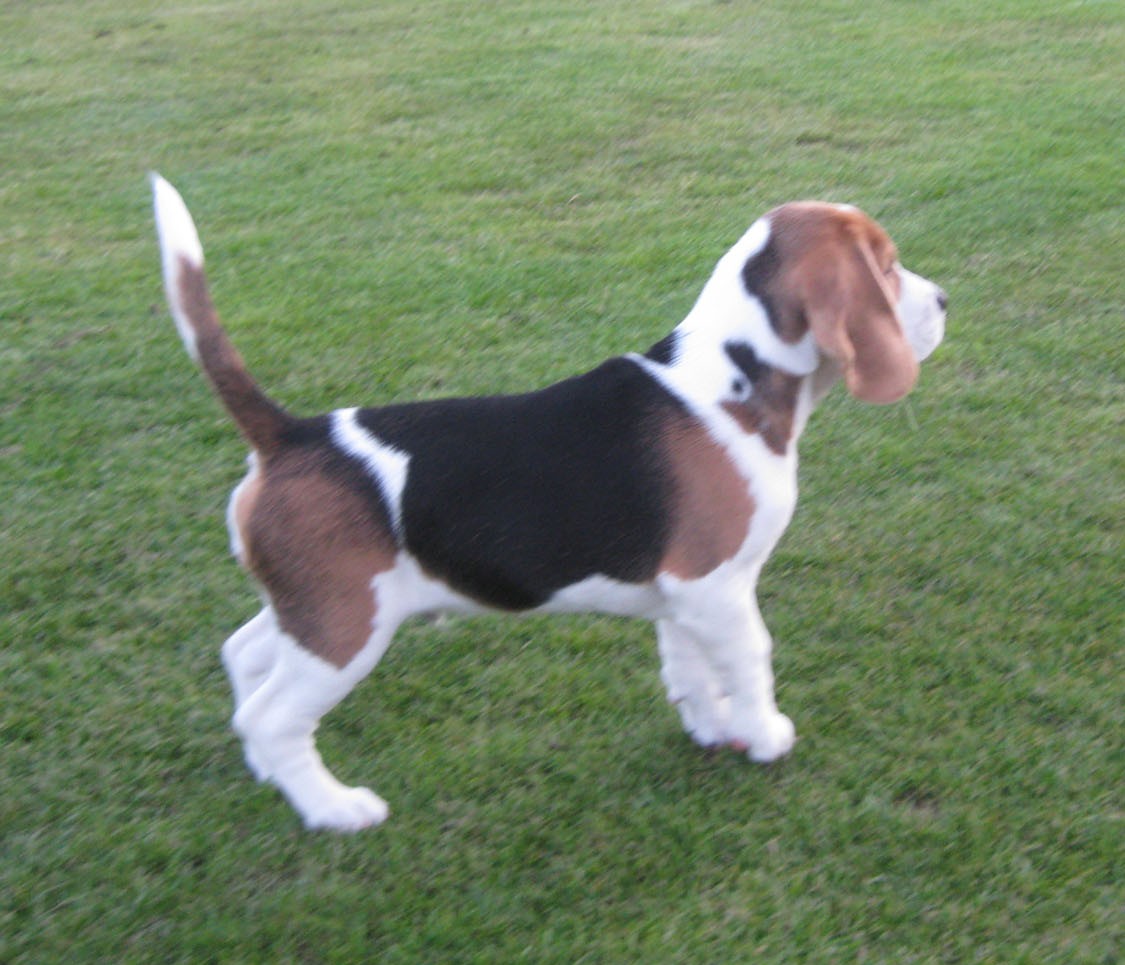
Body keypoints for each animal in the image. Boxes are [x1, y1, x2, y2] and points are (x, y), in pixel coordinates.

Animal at [151, 174, 946, 831]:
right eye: (886, 263)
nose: (943, 301)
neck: (735, 380)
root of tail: (290, 435)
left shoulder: (682, 596)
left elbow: (689, 668)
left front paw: (713, 728)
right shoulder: (716, 585)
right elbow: (751, 657)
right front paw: (764, 734)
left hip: (311, 610)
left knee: (242, 656)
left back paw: (268, 773)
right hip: (345, 629)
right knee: (272, 716)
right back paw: (334, 808)